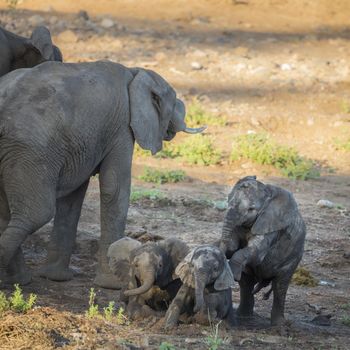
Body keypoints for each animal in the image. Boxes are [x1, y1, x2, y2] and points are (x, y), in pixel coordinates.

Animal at [0, 60, 205, 288]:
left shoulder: (80, 143)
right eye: (173, 102)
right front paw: (113, 285)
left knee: (7, 214)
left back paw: (18, 281)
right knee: (37, 213)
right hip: (32, 151)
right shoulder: (122, 127)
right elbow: (115, 188)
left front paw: (56, 277)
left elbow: (73, 198)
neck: (135, 72)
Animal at [219, 176, 306, 326]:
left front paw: (232, 273)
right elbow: (232, 246)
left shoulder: (271, 225)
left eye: (251, 209)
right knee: (246, 283)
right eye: (227, 202)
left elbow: (256, 251)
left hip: (294, 258)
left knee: (280, 286)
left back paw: (279, 325)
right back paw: (243, 317)